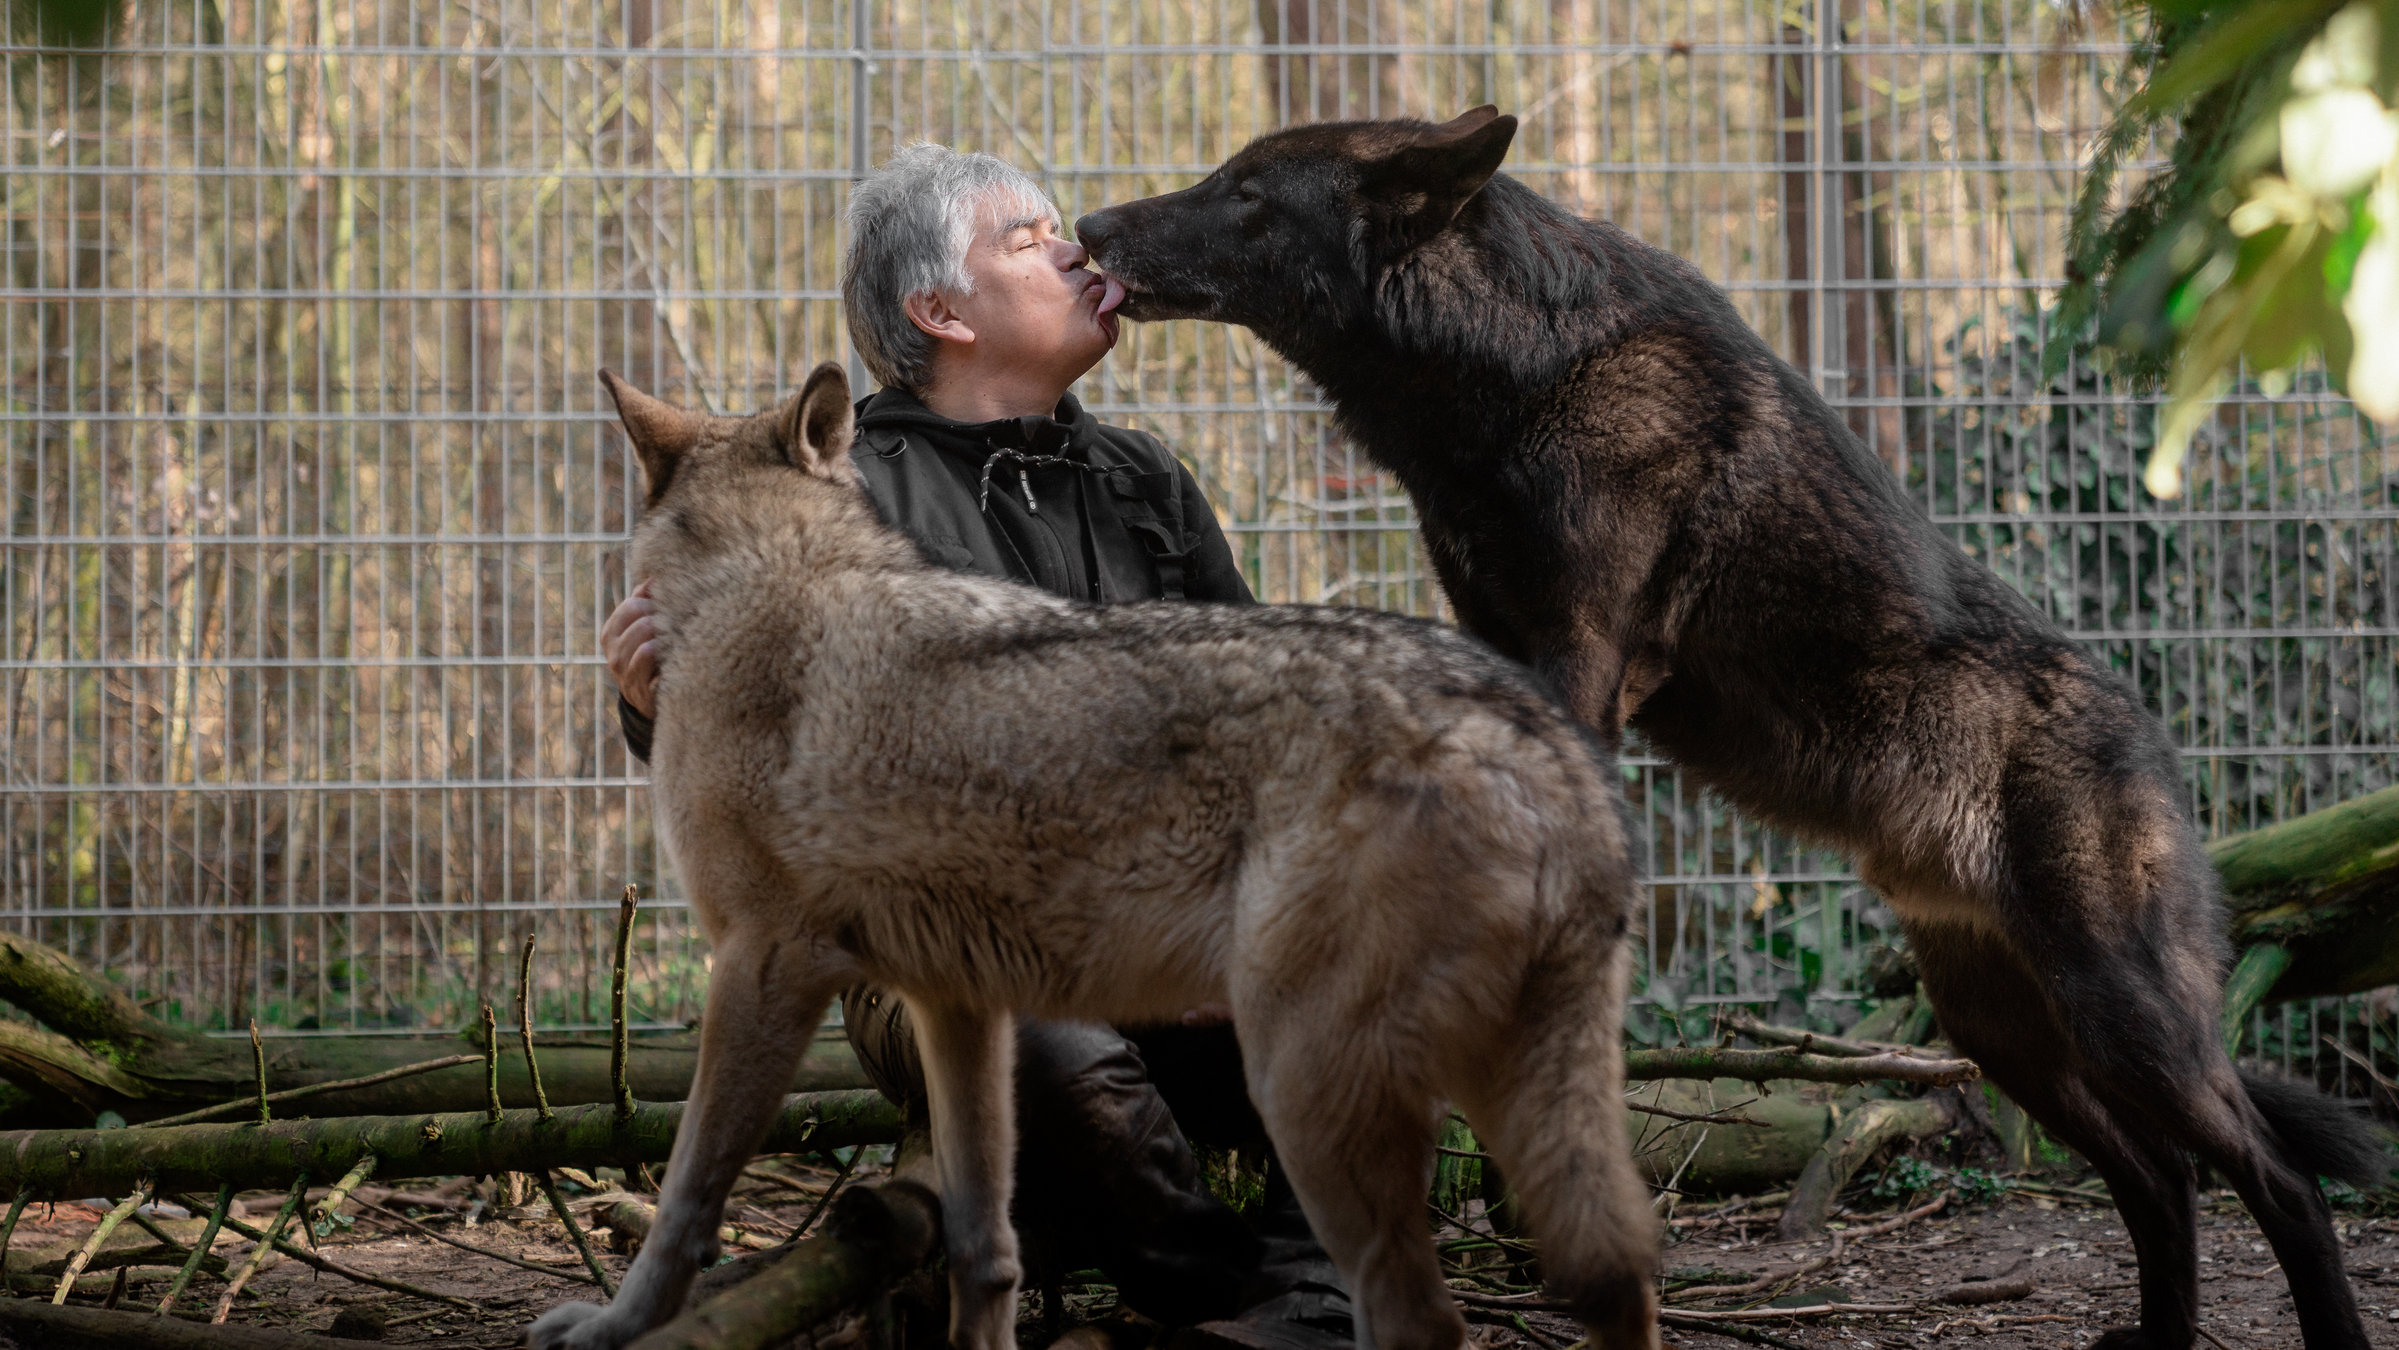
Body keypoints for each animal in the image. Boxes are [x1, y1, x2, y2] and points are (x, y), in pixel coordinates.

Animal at [1074, 108, 2388, 1350]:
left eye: (1246, 193)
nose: (1087, 226)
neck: (1519, 367)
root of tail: (2149, 732)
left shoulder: (1581, 664)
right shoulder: (1497, 641)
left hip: (2126, 1018)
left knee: (2274, 1181)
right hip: (2010, 1035)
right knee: (2160, 1182)